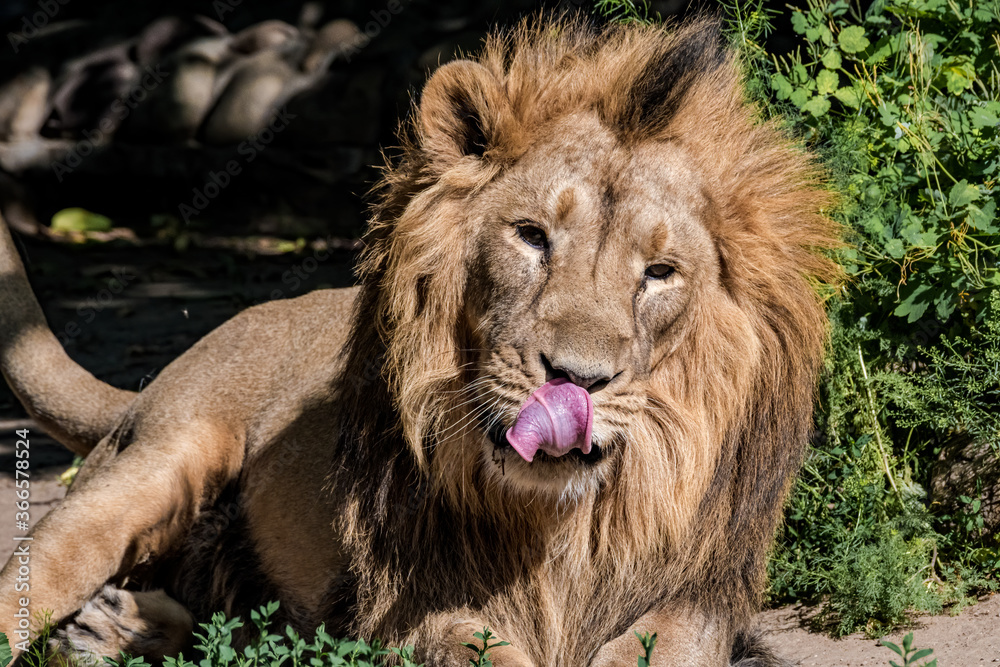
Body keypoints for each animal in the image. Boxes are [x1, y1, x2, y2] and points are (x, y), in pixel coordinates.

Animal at [0, 15, 841, 667]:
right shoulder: (417, 598)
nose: (576, 380)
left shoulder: (696, 597)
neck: (564, 525)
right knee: (43, 564)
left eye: (660, 274)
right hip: (161, 454)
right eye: (531, 236)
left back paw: (120, 628)